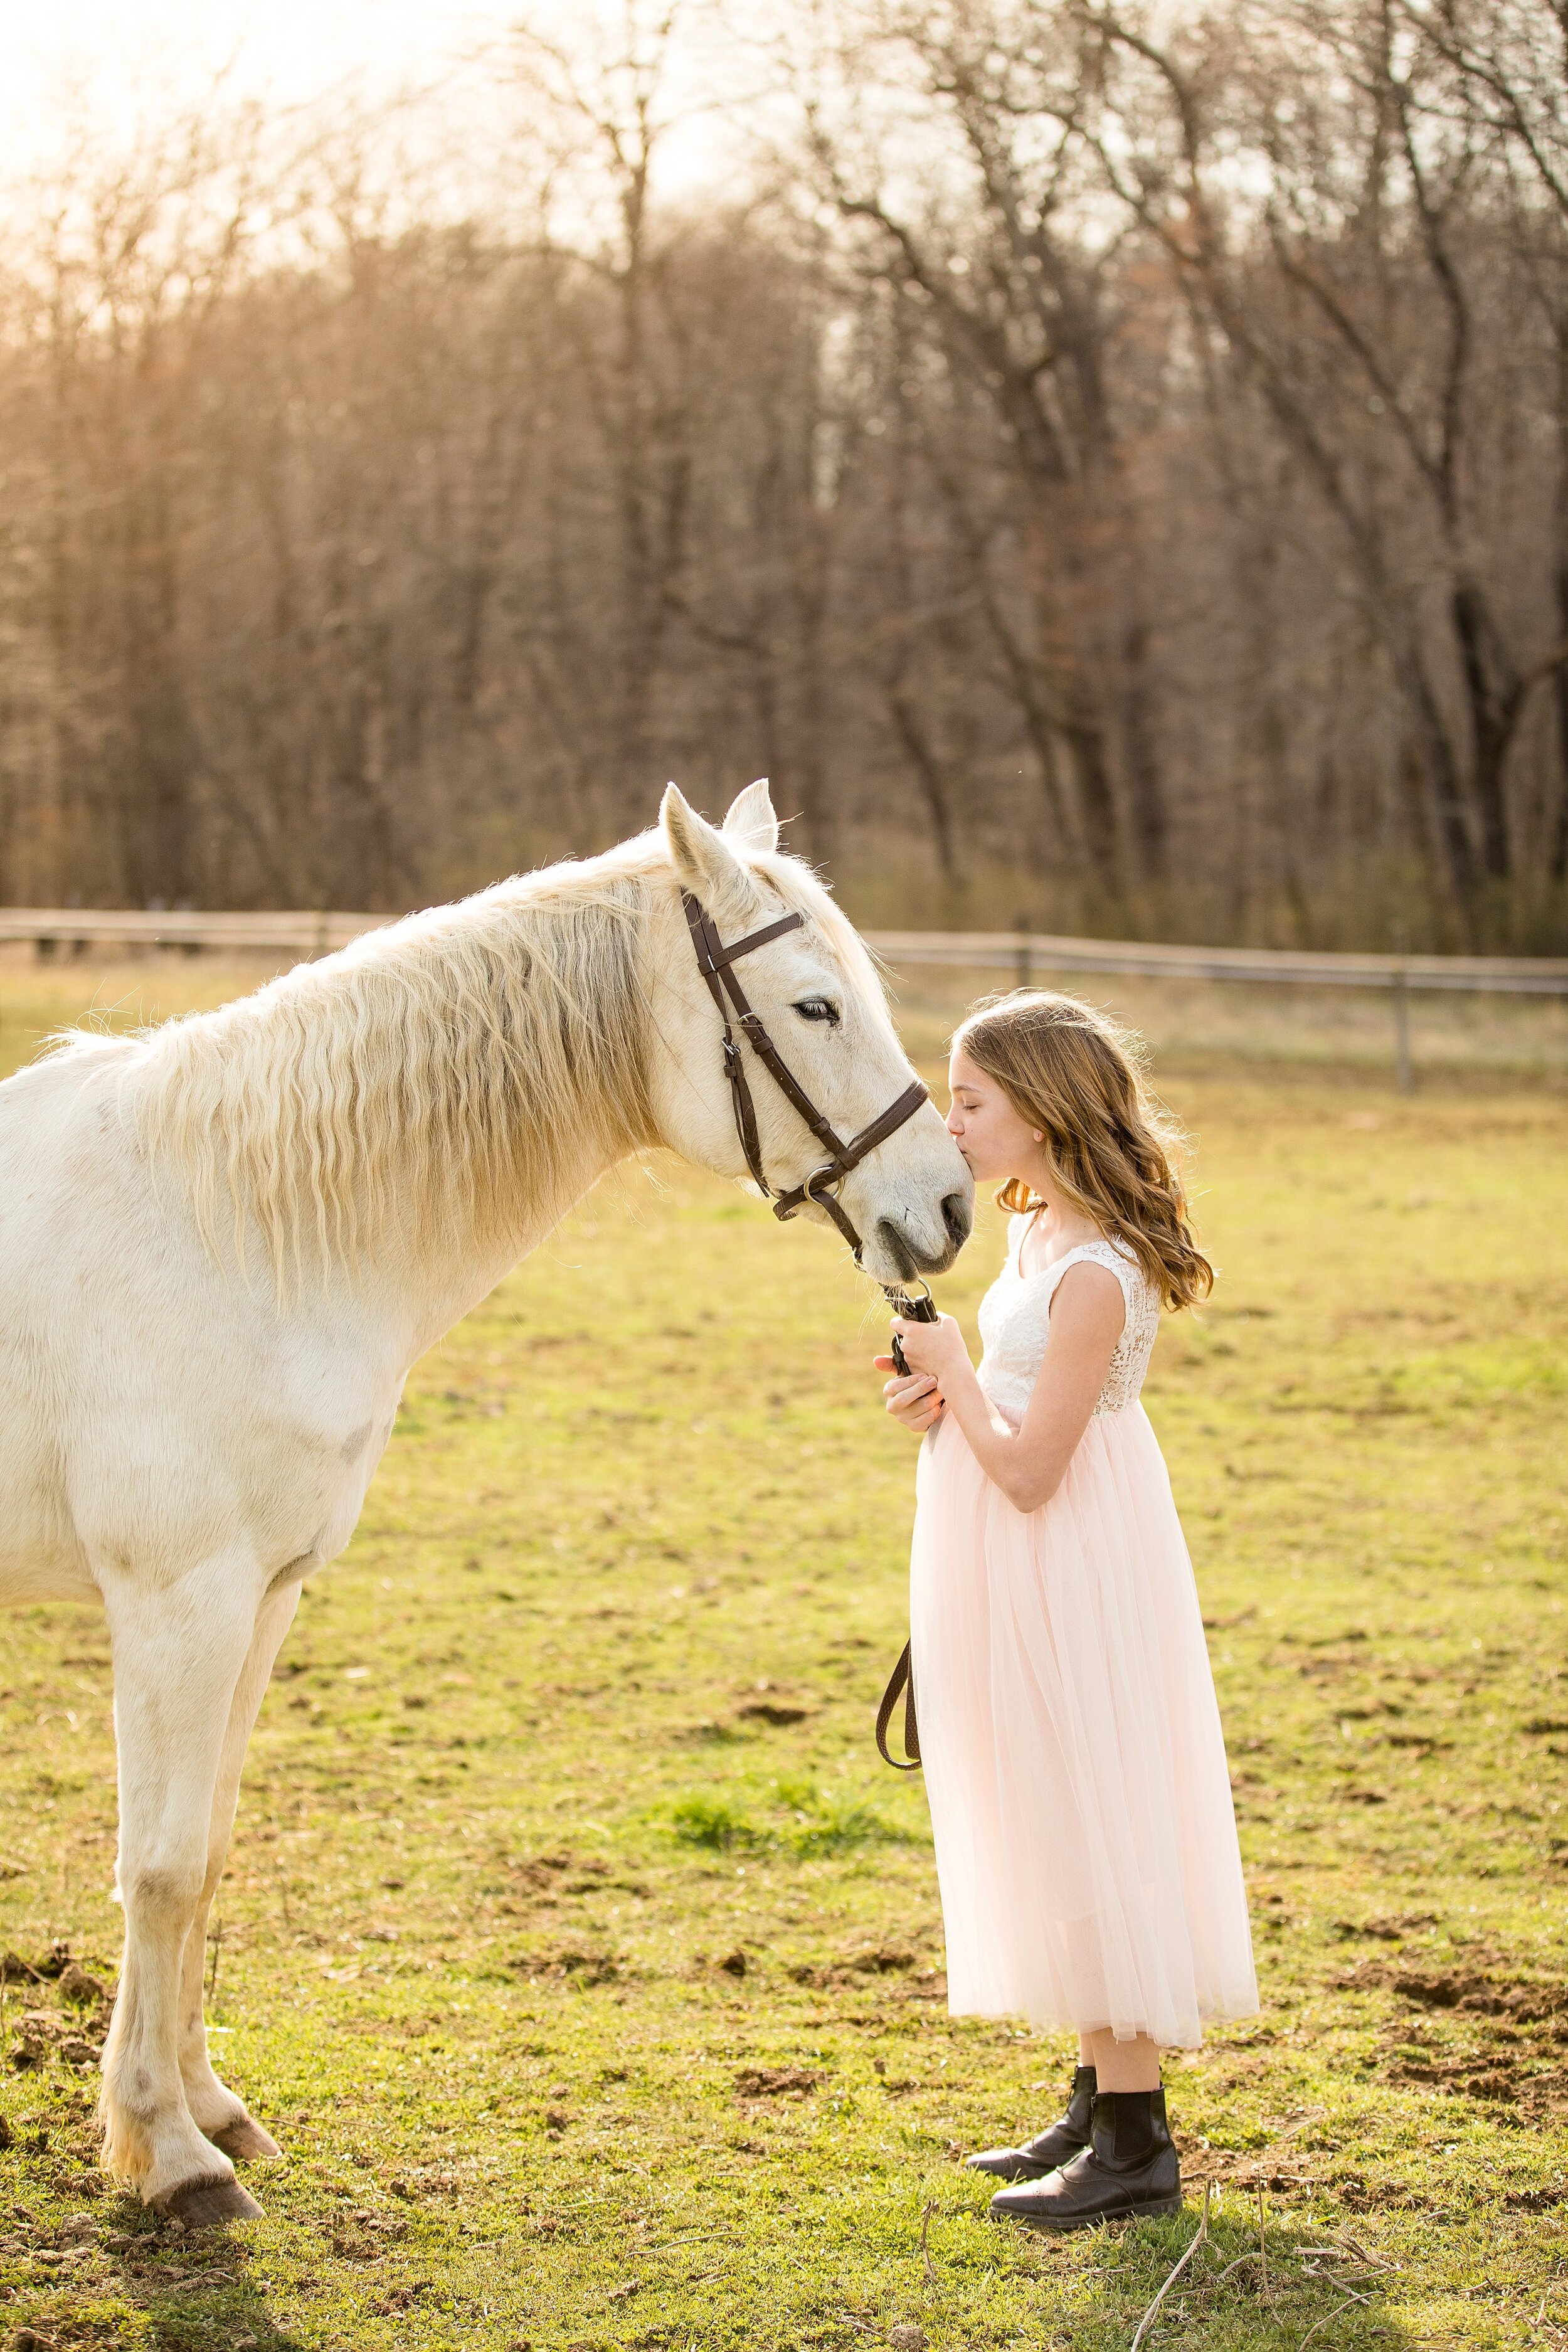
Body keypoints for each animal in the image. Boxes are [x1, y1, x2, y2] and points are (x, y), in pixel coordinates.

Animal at [0, 785, 968, 2220]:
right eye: (812, 1007)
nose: (949, 1206)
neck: (226, 1225)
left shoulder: (262, 1598)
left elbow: (210, 1848)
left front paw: (208, 2107)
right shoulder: (180, 1603)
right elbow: (160, 1869)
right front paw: (165, 2153)